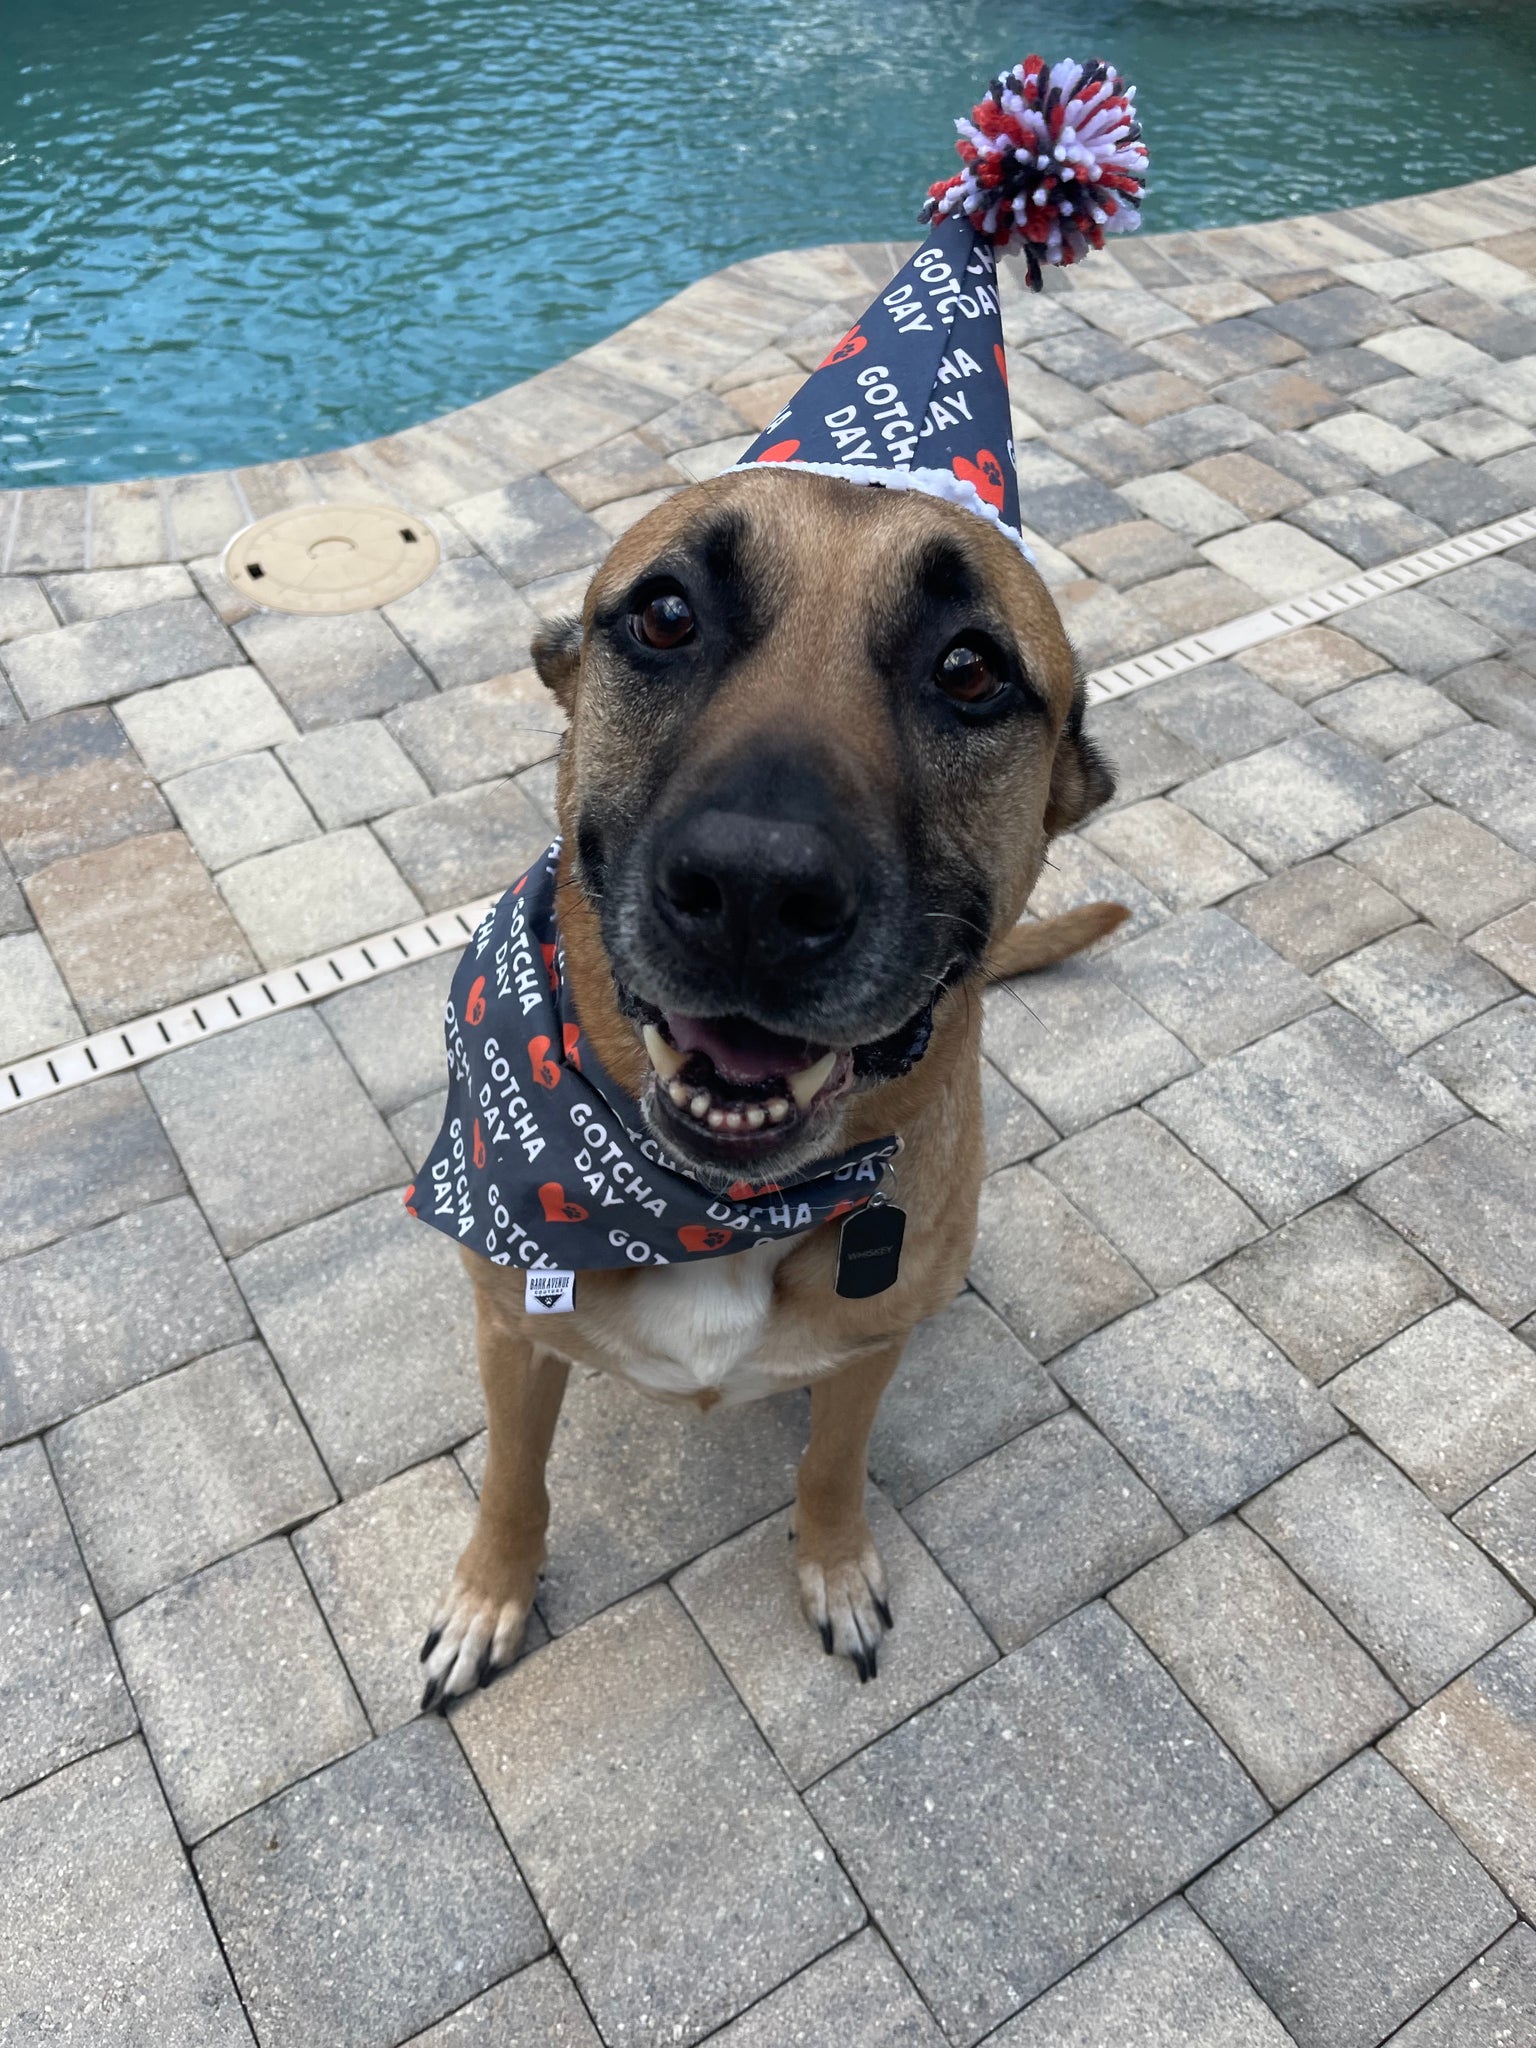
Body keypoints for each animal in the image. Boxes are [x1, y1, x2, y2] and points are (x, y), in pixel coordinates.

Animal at [415, 471, 1122, 1703]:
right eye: (666, 615)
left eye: (969, 668)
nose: (753, 888)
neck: (705, 1208)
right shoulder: (512, 1327)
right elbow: (512, 1475)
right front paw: (489, 1590)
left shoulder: (865, 1348)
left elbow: (832, 1467)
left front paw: (834, 1569)